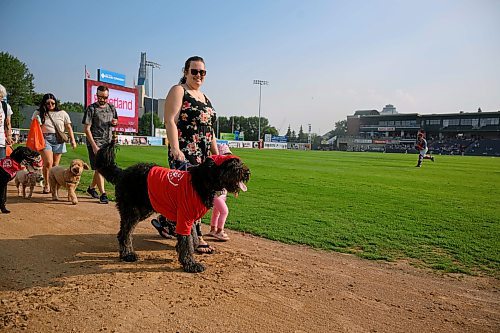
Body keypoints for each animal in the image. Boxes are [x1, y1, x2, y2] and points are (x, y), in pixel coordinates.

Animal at [94, 140, 250, 272]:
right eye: (232, 165)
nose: (248, 172)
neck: (201, 182)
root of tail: (123, 172)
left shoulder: (189, 219)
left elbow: (192, 238)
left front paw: (187, 251)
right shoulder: (184, 218)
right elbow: (187, 242)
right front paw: (190, 264)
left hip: (144, 209)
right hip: (133, 212)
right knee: (124, 234)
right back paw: (127, 255)